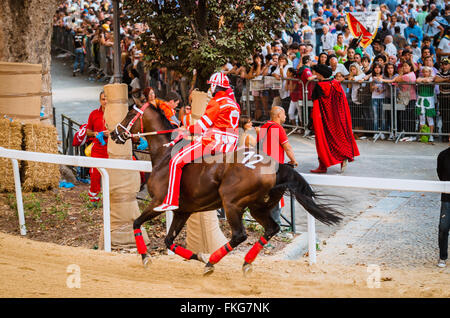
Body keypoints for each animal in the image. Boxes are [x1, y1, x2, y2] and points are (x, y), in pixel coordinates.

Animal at [110, 102, 342, 276]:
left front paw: (145, 257)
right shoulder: (183, 211)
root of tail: (274, 166)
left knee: (240, 235)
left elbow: (136, 223)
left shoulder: (159, 202)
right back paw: (242, 262)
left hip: (231, 203)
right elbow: (168, 240)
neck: (164, 156)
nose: (113, 133)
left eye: (130, 113)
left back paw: (212, 262)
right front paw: (197, 255)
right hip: (257, 207)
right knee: (272, 228)